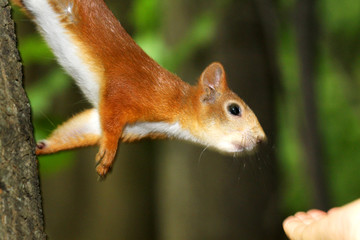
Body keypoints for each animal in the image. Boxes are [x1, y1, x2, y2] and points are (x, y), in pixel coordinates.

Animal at [12, 0, 266, 176]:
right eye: (234, 109)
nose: (261, 139)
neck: (175, 108)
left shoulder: (132, 127)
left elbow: (84, 128)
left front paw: (42, 146)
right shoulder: (130, 90)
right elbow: (112, 118)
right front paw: (109, 152)